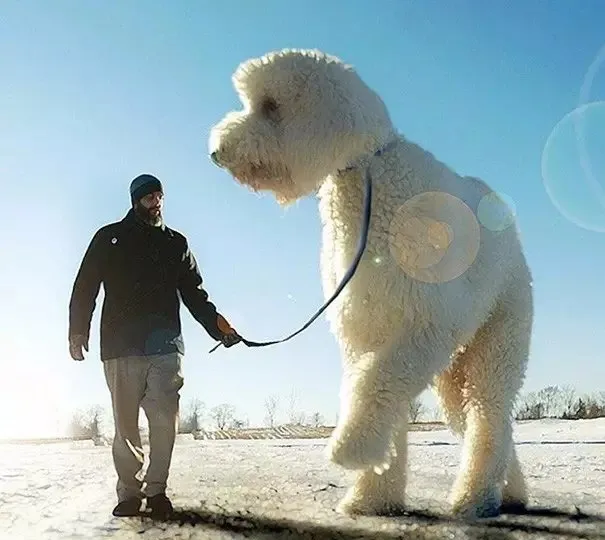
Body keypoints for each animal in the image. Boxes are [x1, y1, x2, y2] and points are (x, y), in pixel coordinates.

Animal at [209, 48, 532, 520]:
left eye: (270, 106)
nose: (216, 152)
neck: (368, 173)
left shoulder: (426, 324)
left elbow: (376, 383)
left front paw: (352, 451)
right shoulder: (365, 327)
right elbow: (375, 389)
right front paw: (372, 498)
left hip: (499, 338)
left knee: (489, 414)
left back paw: (474, 498)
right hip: (454, 372)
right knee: (485, 419)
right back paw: (509, 492)